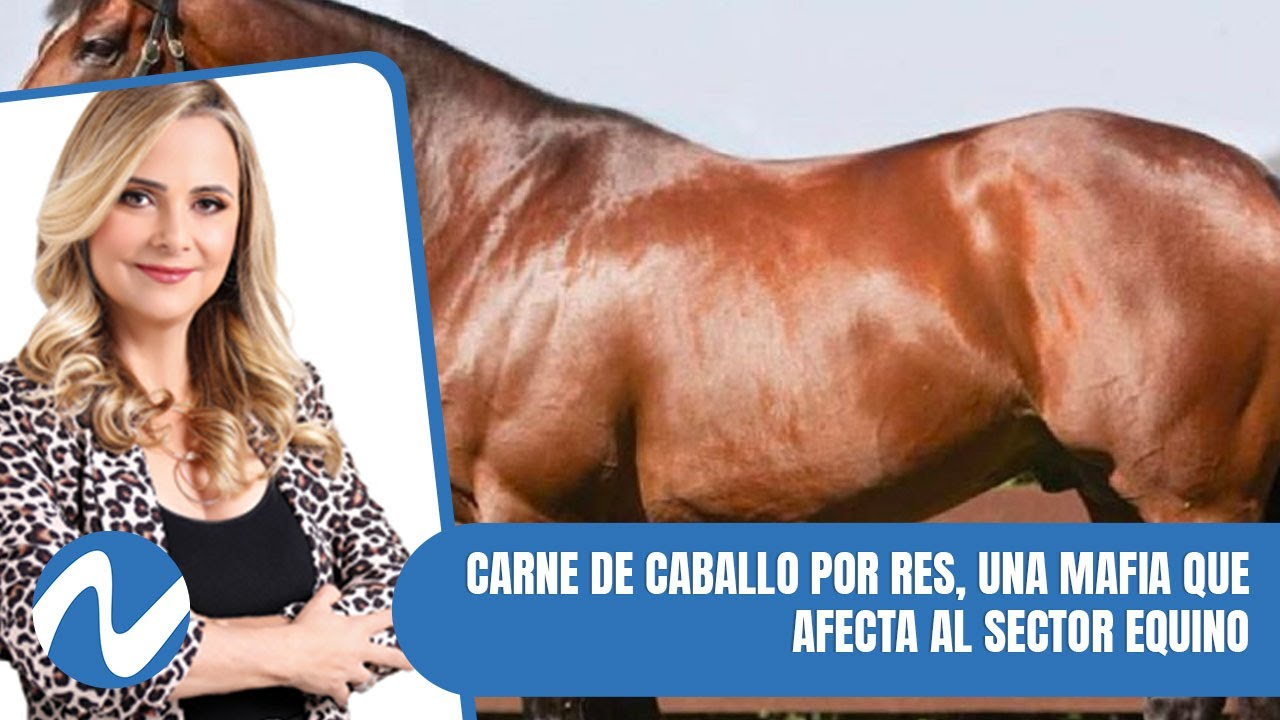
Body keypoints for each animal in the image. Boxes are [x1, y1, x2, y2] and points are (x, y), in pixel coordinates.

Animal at [22, 3, 1280, 720]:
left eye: (100, 41)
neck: (498, 213)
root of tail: (1252, 188)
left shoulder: (530, 515)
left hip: (1192, 504)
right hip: (1117, 500)